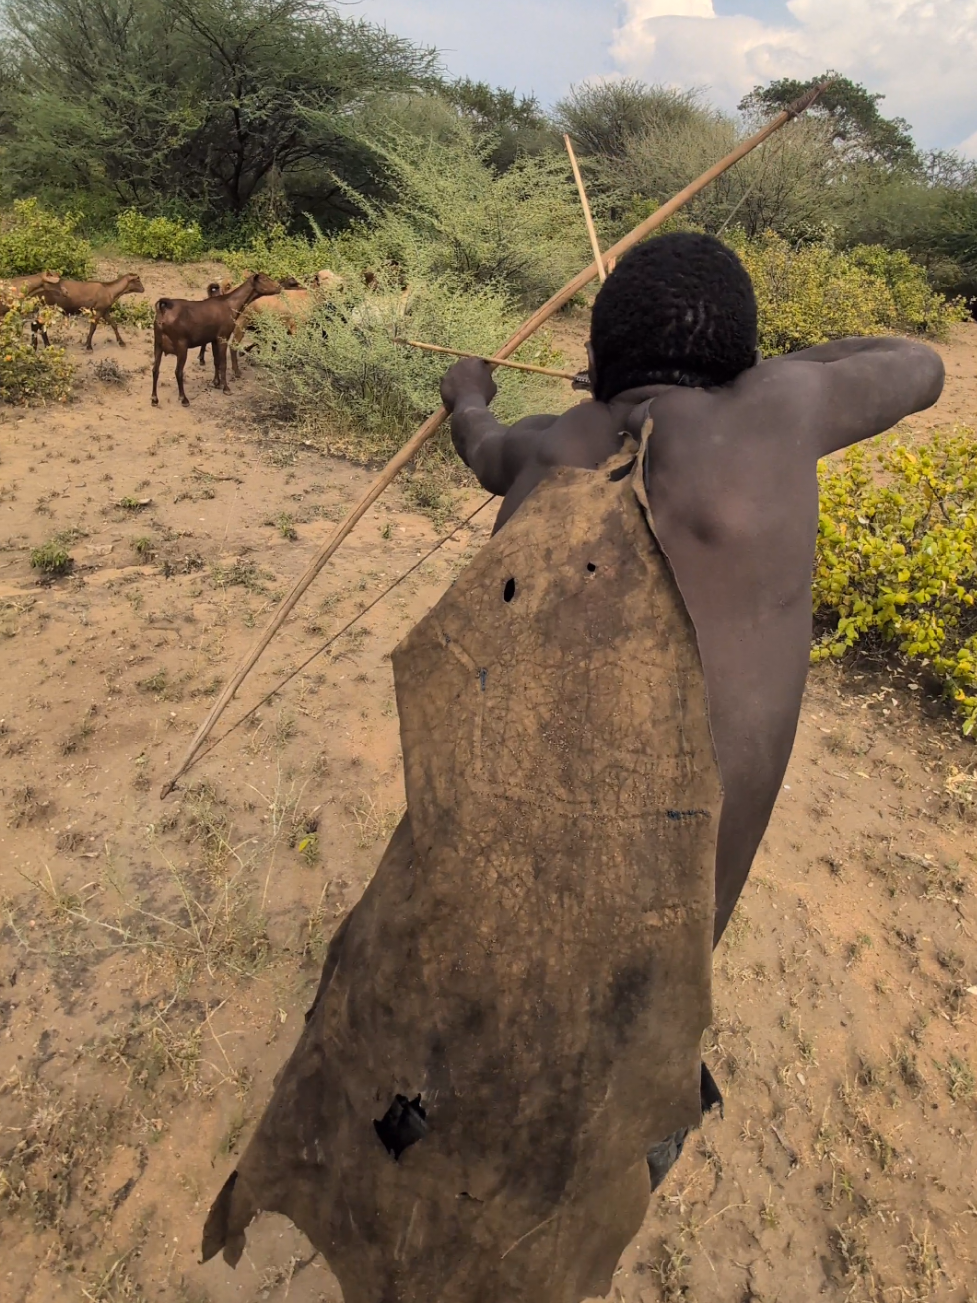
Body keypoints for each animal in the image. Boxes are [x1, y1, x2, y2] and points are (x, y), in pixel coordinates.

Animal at [151, 277, 278, 409]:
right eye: (265, 279)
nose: (279, 286)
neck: (229, 304)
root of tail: (163, 310)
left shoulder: (213, 339)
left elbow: (216, 361)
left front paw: (216, 382)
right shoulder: (223, 338)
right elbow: (223, 364)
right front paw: (226, 388)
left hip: (158, 345)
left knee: (155, 370)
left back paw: (154, 399)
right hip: (181, 347)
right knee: (178, 372)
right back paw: (184, 399)